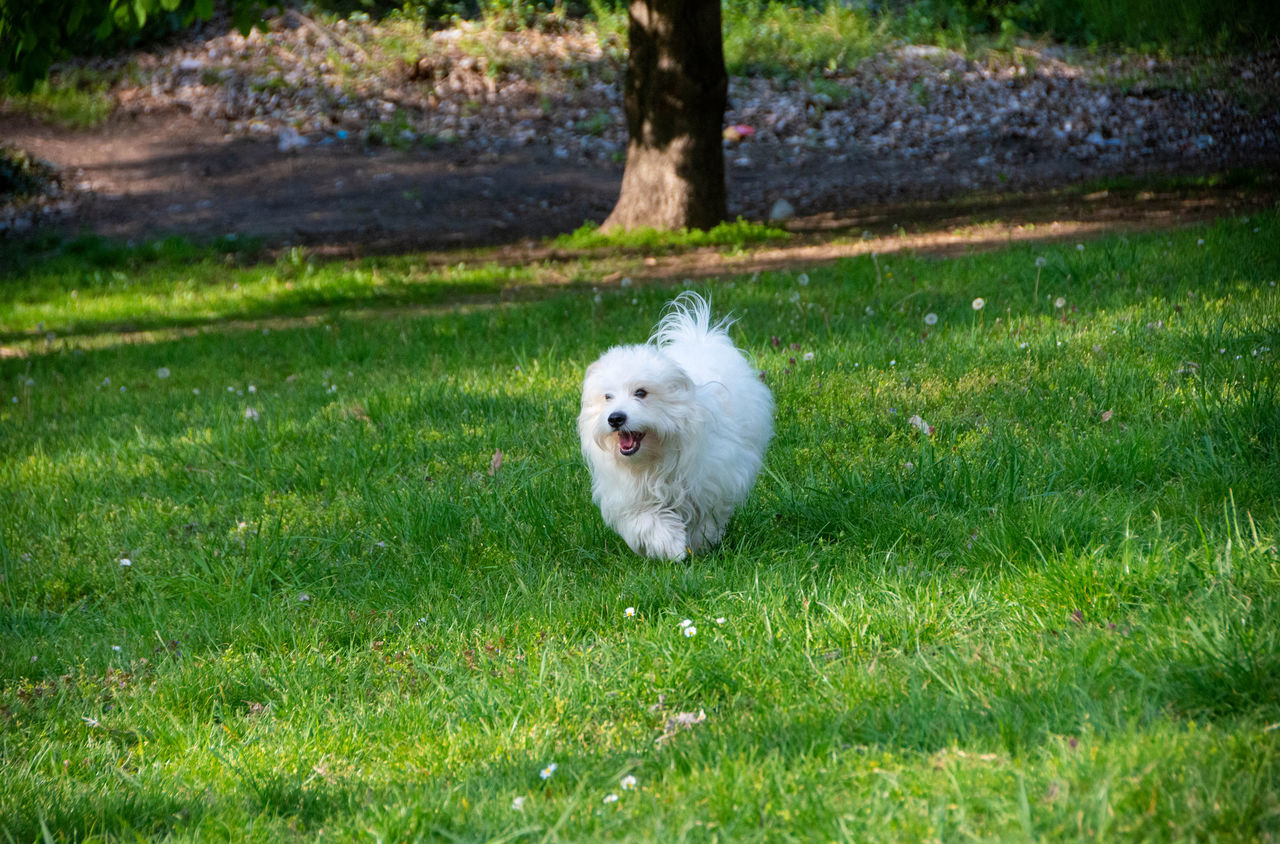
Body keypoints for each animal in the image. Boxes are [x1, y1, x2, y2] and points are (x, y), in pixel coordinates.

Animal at [578, 292, 768, 560]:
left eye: (641, 392)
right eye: (607, 397)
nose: (615, 418)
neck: (654, 458)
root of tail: (699, 338)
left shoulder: (711, 481)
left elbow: (706, 517)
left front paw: (699, 544)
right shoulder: (630, 495)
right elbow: (646, 521)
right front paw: (670, 545)